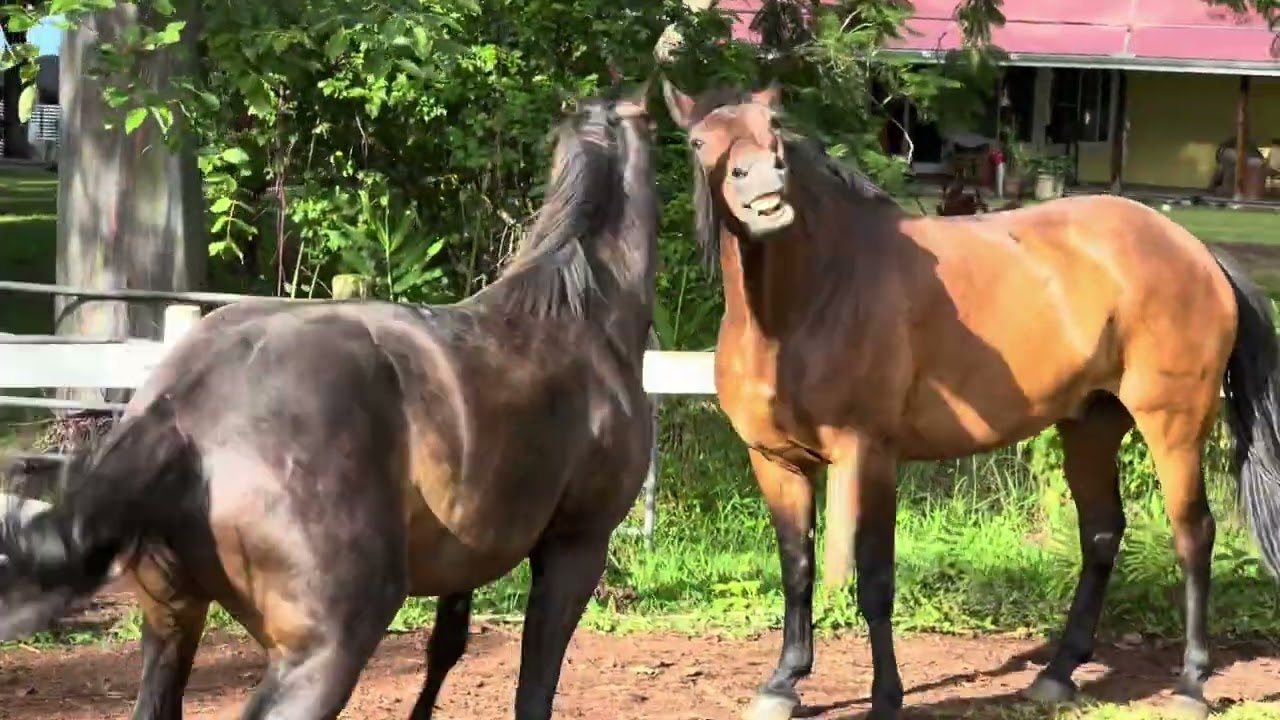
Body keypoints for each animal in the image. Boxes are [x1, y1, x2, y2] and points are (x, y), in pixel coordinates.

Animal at [0, 81, 659, 720]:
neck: (581, 318)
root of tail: (177, 410)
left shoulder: (467, 555)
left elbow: (446, 647)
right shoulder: (576, 546)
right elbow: (534, 687)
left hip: (172, 621)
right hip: (326, 648)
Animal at [660, 78, 1280, 720]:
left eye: (774, 128)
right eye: (700, 140)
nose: (764, 185)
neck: (810, 301)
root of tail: (1197, 252)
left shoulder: (869, 457)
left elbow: (875, 578)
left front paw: (886, 697)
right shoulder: (774, 461)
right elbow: (797, 568)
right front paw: (783, 683)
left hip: (1172, 424)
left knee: (1194, 534)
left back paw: (1190, 684)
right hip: (1090, 424)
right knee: (1102, 532)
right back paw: (1057, 674)